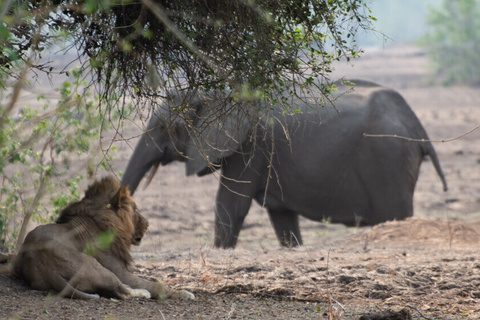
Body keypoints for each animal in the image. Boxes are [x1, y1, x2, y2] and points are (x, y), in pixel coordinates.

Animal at [9, 175, 193, 300]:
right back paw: (142, 292)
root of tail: (40, 262)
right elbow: (155, 284)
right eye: (135, 210)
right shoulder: (120, 271)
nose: (148, 223)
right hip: (94, 265)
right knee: (122, 290)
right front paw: (184, 293)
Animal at [122, 79, 448, 248]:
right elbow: (281, 216)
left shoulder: (250, 146)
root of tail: (418, 127)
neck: (220, 89)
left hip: (388, 159)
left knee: (396, 214)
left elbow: (230, 205)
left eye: (165, 127)